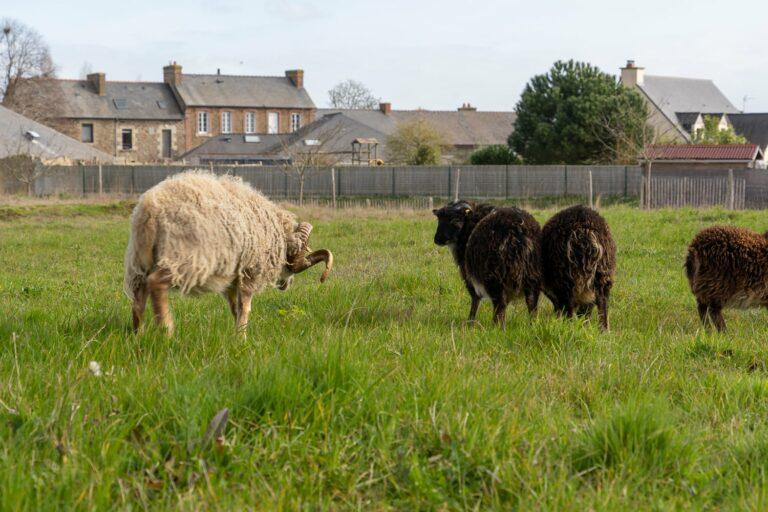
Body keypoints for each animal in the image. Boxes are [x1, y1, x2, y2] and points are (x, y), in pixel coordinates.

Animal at [123, 170, 332, 334]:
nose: (286, 284)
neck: (276, 233)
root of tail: (151, 208)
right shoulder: (250, 272)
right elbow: (245, 308)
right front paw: (242, 339)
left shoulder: (232, 279)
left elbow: (235, 308)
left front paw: (237, 334)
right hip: (185, 258)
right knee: (156, 283)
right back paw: (167, 330)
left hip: (139, 262)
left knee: (138, 299)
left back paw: (139, 334)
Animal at [436, 200, 544, 328]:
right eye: (439, 220)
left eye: (454, 220)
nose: (437, 239)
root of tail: (519, 230)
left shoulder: (468, 276)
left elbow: (475, 299)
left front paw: (470, 322)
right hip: (532, 276)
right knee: (531, 302)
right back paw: (533, 325)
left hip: (495, 277)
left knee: (500, 305)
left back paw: (497, 327)